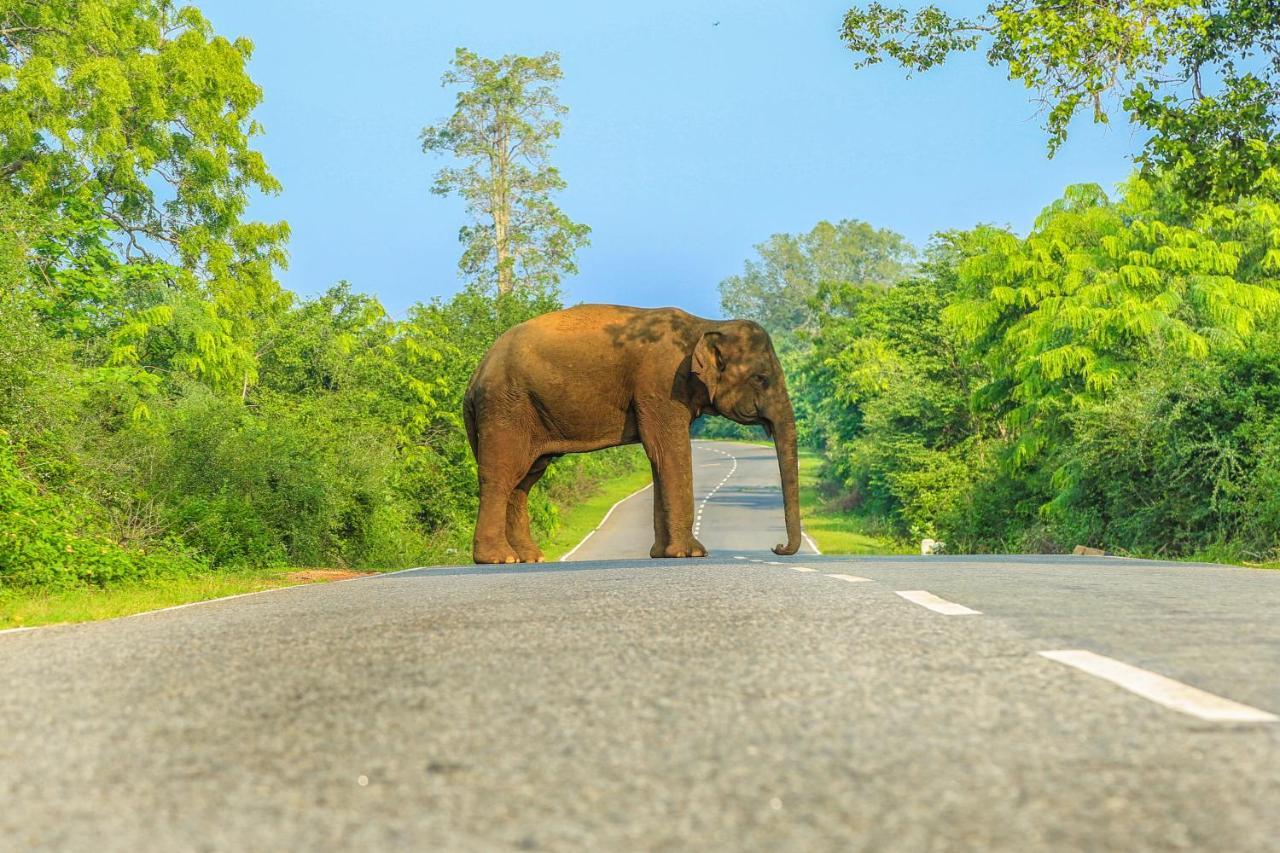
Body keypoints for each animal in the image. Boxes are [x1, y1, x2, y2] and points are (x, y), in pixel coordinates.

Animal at [460, 302, 798, 560]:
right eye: (762, 378)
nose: (777, 547)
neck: (704, 325)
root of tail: (476, 374)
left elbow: (660, 458)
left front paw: (662, 554)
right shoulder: (660, 385)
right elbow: (668, 452)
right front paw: (691, 554)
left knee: (524, 479)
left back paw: (529, 557)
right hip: (506, 408)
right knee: (502, 474)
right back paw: (498, 559)